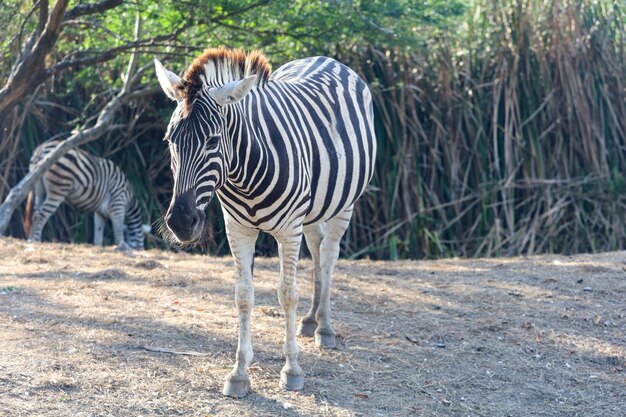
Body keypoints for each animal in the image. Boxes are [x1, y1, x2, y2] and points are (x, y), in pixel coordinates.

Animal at [155, 47, 376, 394]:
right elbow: (243, 296)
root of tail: (327, 59)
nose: (180, 222)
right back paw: (310, 320)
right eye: (170, 140)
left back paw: (324, 327)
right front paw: (238, 373)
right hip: (312, 211)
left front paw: (292, 369)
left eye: (213, 141)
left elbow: (287, 294)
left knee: (328, 256)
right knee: (317, 249)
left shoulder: (289, 230)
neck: (244, 173)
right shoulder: (238, 229)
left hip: (344, 204)